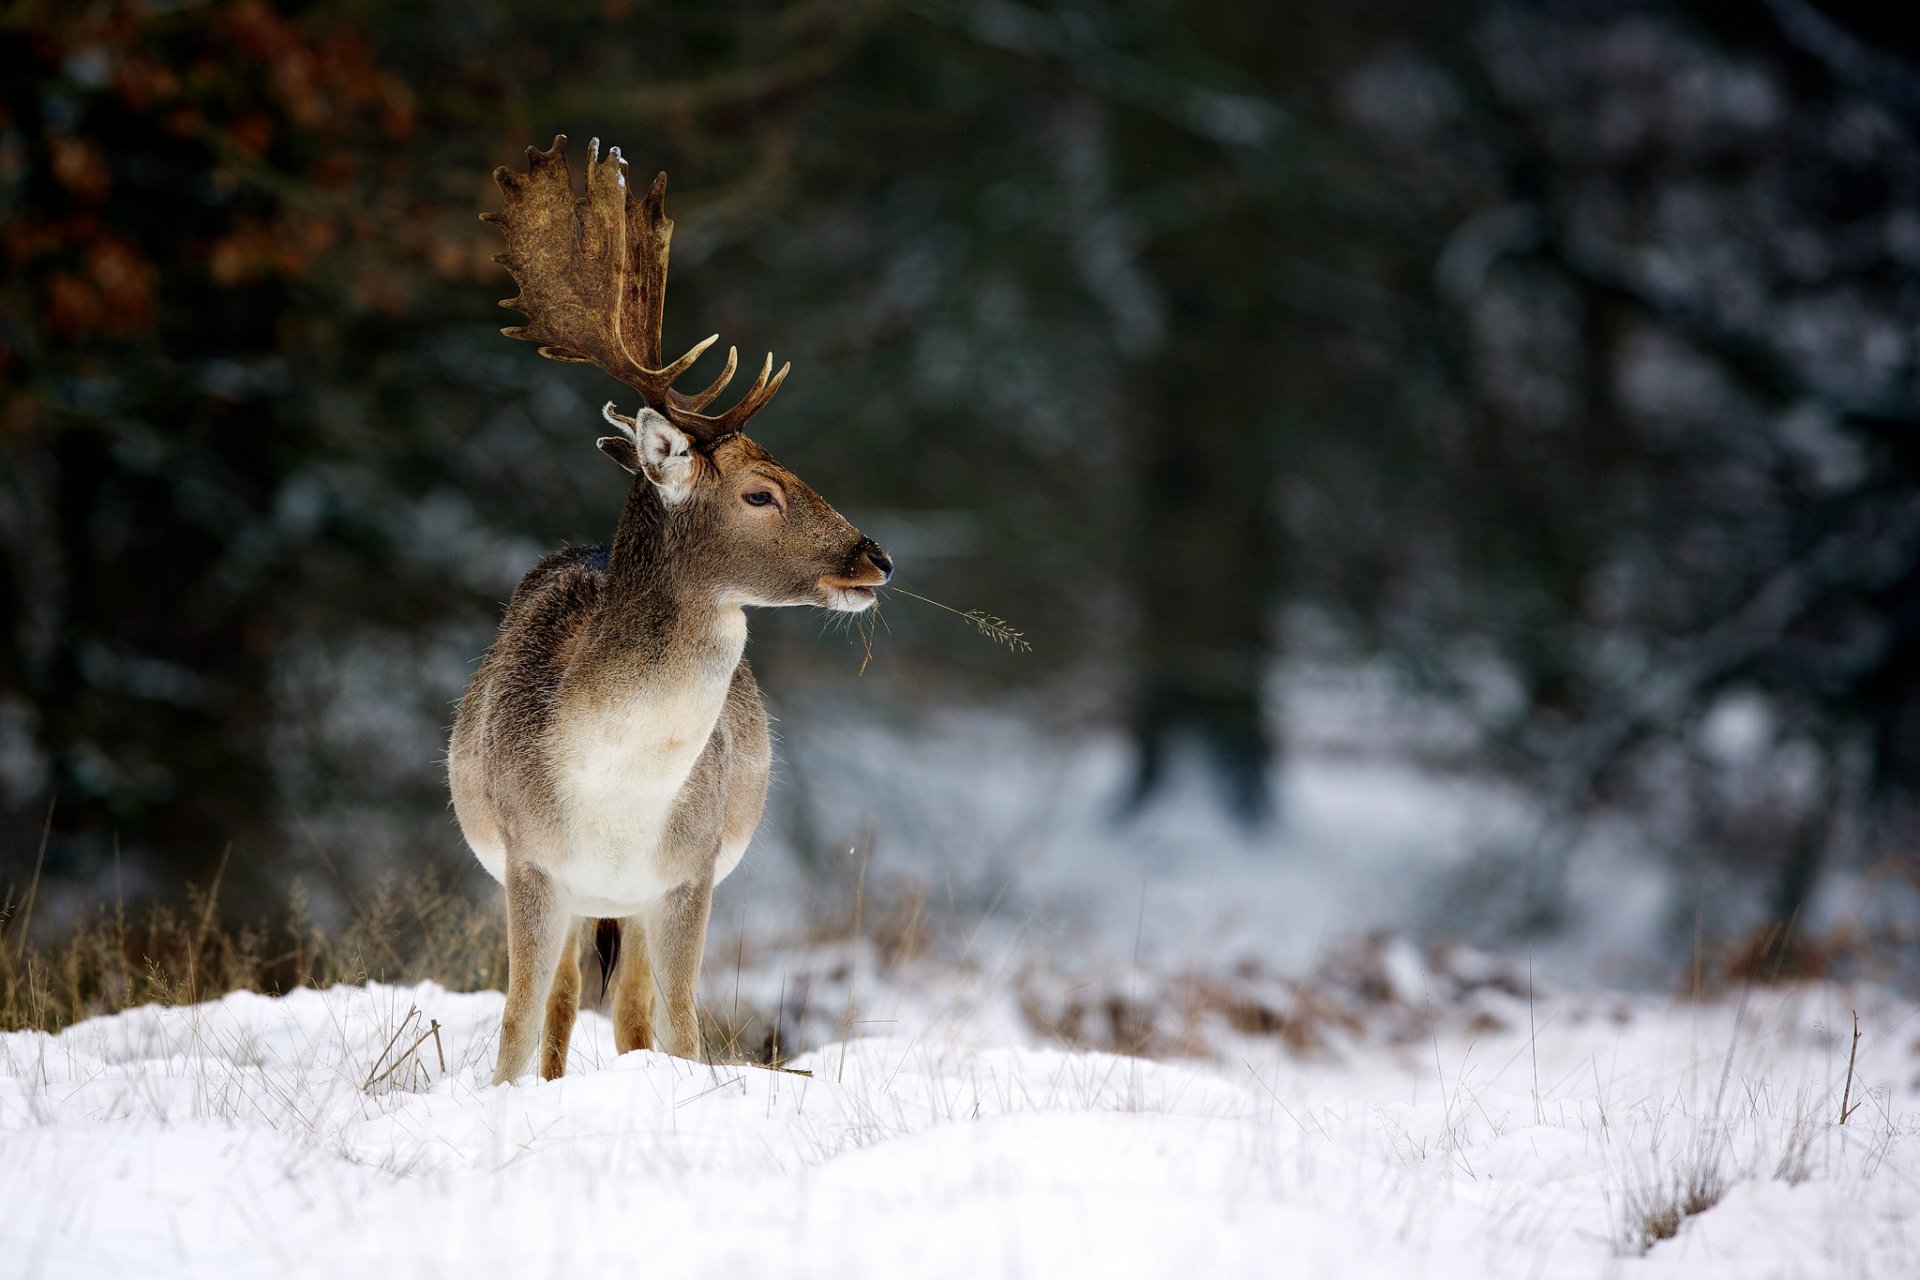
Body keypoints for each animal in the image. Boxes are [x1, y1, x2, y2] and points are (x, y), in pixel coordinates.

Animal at [448, 136, 892, 1084]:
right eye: (760, 492)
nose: (874, 557)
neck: (616, 791)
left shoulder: (690, 871)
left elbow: (683, 1026)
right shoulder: (529, 861)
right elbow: (514, 1022)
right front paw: (505, 1095)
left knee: (631, 1011)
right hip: (571, 894)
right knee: (564, 1003)